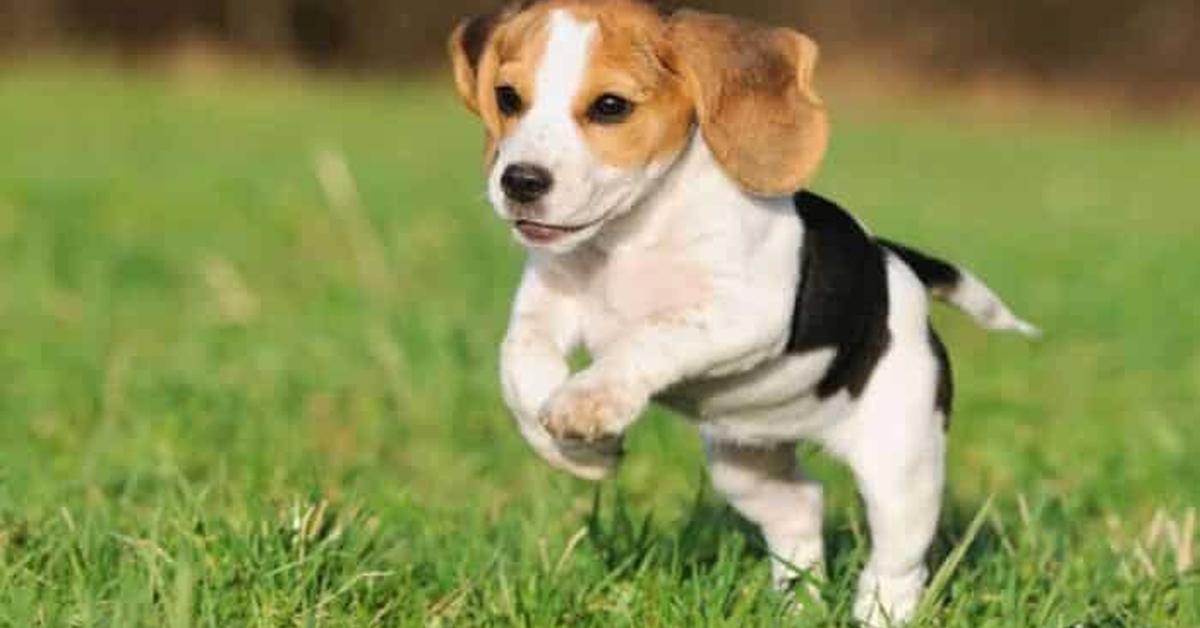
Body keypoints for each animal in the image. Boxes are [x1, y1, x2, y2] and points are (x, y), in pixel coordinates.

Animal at [446, 0, 1036, 619]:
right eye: (507, 97)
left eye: (610, 106)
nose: (520, 181)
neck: (631, 232)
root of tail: (897, 261)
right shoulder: (547, 304)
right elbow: (520, 363)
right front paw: (579, 453)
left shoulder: (744, 313)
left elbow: (650, 336)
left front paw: (588, 401)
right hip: (747, 468)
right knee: (801, 508)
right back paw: (796, 607)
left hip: (902, 467)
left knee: (897, 565)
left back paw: (876, 614)